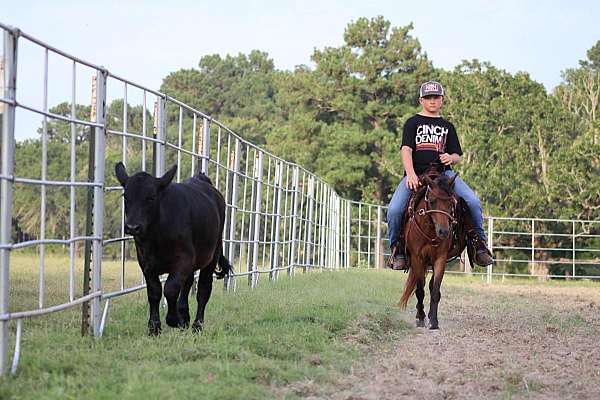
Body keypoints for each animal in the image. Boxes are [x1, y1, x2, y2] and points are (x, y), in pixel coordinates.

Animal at [115, 162, 232, 334]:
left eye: (151, 197)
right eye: (126, 197)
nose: (132, 227)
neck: (156, 237)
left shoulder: (184, 259)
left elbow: (170, 288)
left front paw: (173, 319)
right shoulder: (145, 262)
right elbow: (154, 292)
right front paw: (154, 327)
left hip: (213, 253)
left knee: (203, 289)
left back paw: (197, 325)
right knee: (188, 283)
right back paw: (185, 317)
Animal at [398, 170, 468, 330]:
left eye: (451, 203)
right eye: (431, 201)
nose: (444, 231)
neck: (430, 231)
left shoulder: (440, 259)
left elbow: (435, 290)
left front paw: (434, 321)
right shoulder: (417, 258)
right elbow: (419, 290)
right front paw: (421, 318)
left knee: (430, 286)